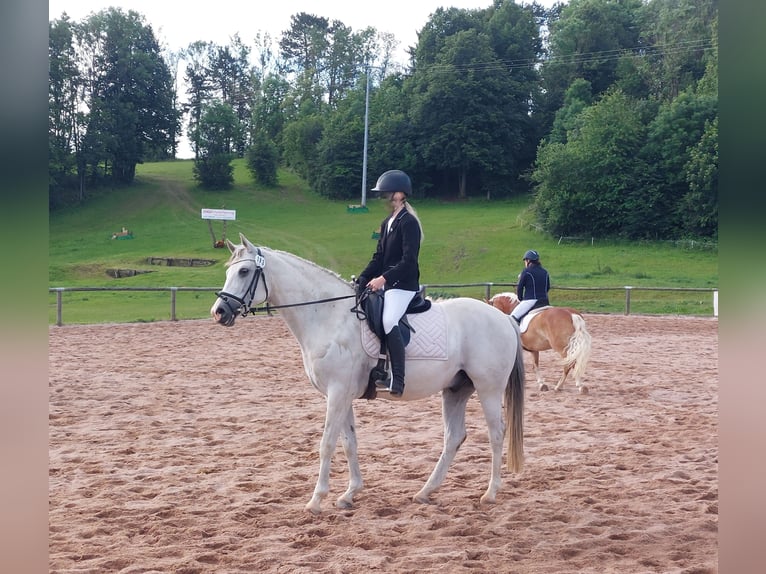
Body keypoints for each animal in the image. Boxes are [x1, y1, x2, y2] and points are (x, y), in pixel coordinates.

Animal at [212, 234, 528, 516]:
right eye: (228, 271)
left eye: (244, 271)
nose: (219, 312)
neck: (328, 316)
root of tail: (504, 318)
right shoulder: (341, 395)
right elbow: (348, 442)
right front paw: (349, 494)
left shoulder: (337, 393)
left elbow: (327, 444)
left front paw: (316, 500)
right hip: (456, 389)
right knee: (454, 437)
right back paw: (425, 492)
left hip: (488, 389)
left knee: (495, 433)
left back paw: (490, 493)